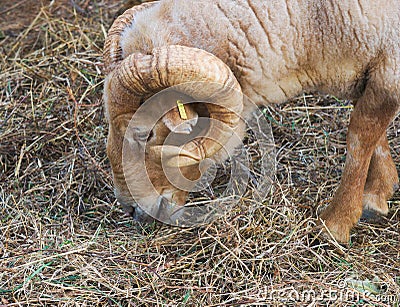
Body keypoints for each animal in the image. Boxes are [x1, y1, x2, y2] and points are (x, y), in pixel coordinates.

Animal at [104, 1, 400, 244]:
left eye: (146, 134)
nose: (130, 209)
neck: (311, 19)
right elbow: (375, 136)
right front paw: (379, 193)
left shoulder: (389, 71)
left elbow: (360, 137)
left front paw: (336, 223)